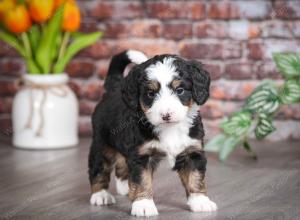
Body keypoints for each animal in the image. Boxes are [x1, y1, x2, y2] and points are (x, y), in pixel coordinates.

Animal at [88, 49, 217, 217]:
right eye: (150, 93)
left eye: (180, 90)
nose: (166, 115)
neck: (170, 128)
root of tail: (114, 88)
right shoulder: (141, 155)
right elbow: (142, 180)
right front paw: (143, 205)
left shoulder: (192, 151)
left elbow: (195, 177)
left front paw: (200, 202)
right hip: (102, 144)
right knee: (99, 169)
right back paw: (100, 195)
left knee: (122, 165)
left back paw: (125, 188)